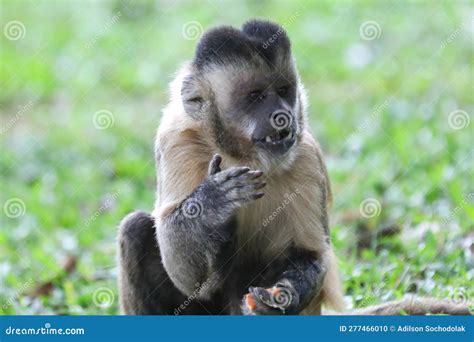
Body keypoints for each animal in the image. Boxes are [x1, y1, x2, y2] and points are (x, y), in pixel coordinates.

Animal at [117, 19, 470, 316]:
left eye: (283, 91)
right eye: (256, 96)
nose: (282, 115)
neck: (243, 157)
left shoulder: (307, 158)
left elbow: (309, 255)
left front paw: (283, 295)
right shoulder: (177, 141)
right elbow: (189, 280)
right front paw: (213, 202)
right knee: (135, 229)